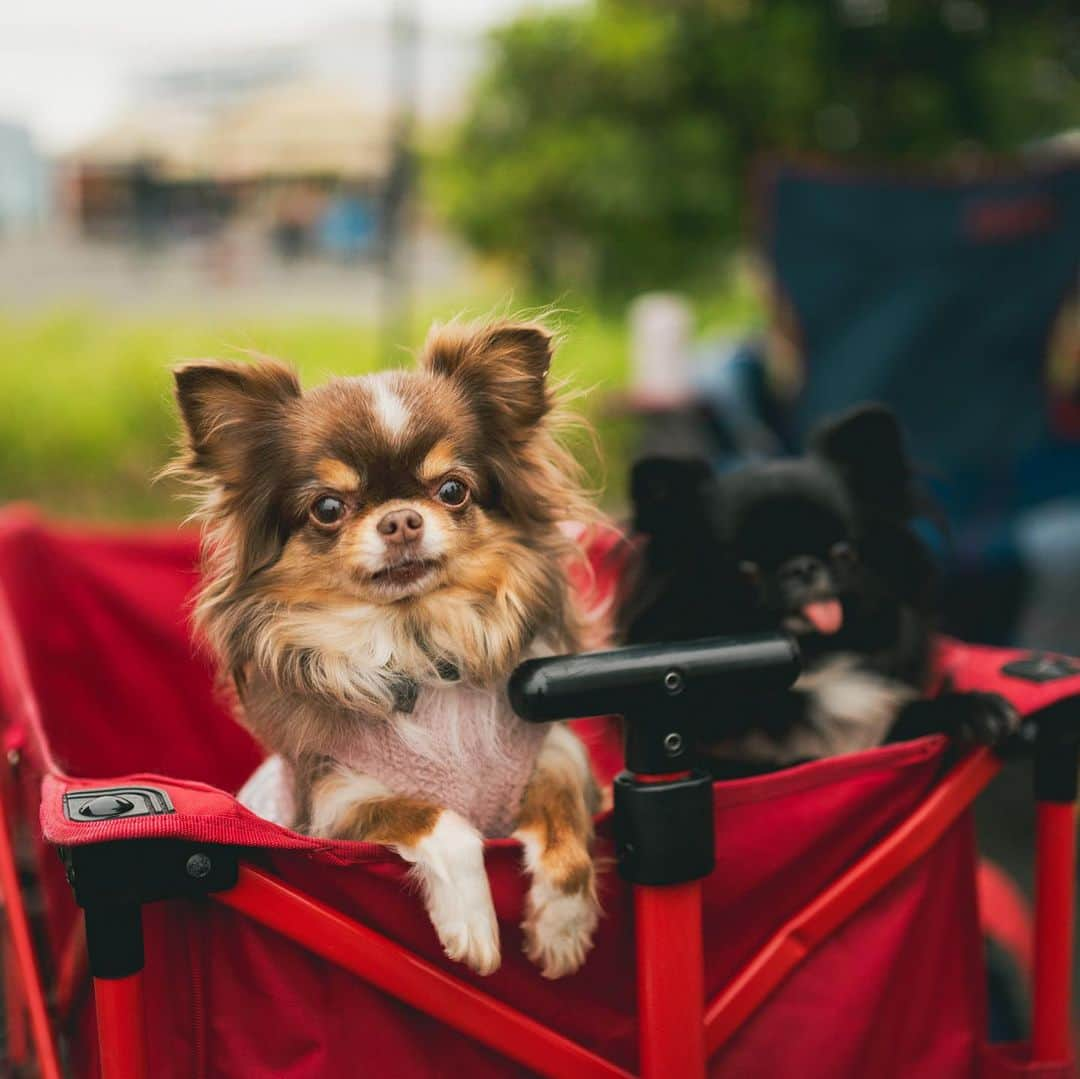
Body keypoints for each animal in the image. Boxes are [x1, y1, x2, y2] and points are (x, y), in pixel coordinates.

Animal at [172, 319, 604, 980]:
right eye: (328, 507)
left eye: (452, 490)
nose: (401, 519)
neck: (418, 644)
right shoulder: (336, 808)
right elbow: (439, 818)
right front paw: (472, 924)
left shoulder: (555, 756)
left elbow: (566, 831)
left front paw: (561, 925)